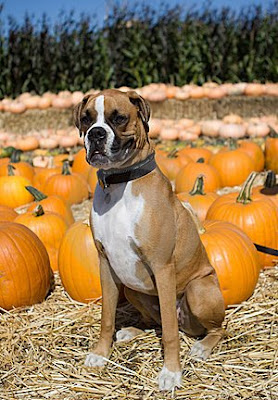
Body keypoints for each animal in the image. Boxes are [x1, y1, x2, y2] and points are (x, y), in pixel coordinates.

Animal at [73, 88, 225, 390]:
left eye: (118, 118)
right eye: (86, 119)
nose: (96, 133)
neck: (121, 181)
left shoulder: (162, 267)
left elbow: (170, 333)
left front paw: (171, 372)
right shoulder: (106, 263)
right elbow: (106, 318)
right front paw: (101, 353)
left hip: (198, 291)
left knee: (213, 328)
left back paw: (202, 346)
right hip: (134, 289)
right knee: (157, 321)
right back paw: (132, 330)